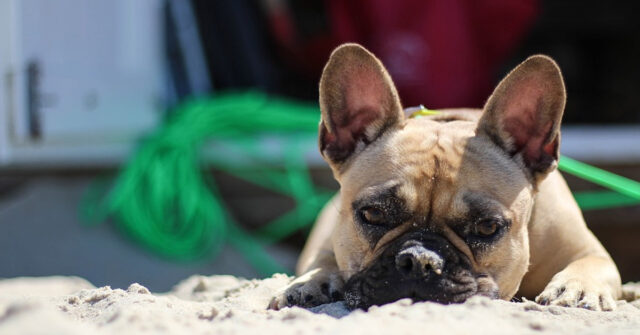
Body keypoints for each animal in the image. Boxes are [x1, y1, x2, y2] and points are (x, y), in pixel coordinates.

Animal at [268, 44, 620, 312]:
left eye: (487, 227)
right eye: (373, 214)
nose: (419, 259)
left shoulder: (587, 249)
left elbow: (593, 264)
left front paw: (576, 288)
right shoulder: (329, 239)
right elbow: (323, 259)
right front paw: (311, 281)